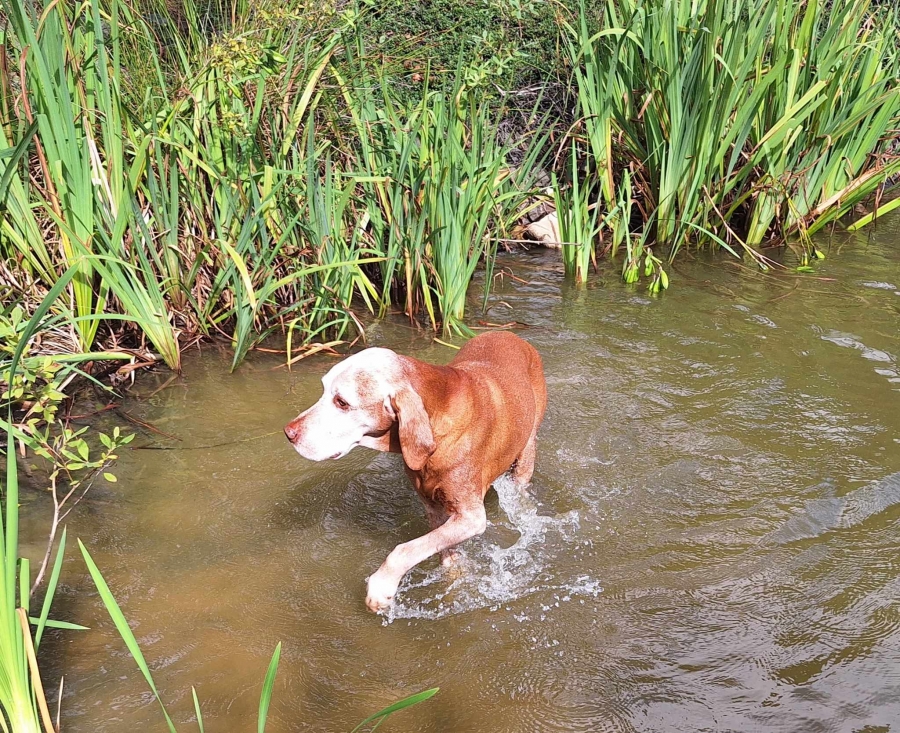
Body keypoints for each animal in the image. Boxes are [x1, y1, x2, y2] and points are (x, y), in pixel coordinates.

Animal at [284, 331, 547, 613]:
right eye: (324, 389)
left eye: (342, 402)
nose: (288, 433)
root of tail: (511, 334)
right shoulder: (433, 507)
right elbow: (440, 551)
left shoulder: (472, 517)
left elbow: (405, 550)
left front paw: (381, 587)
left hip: (526, 454)